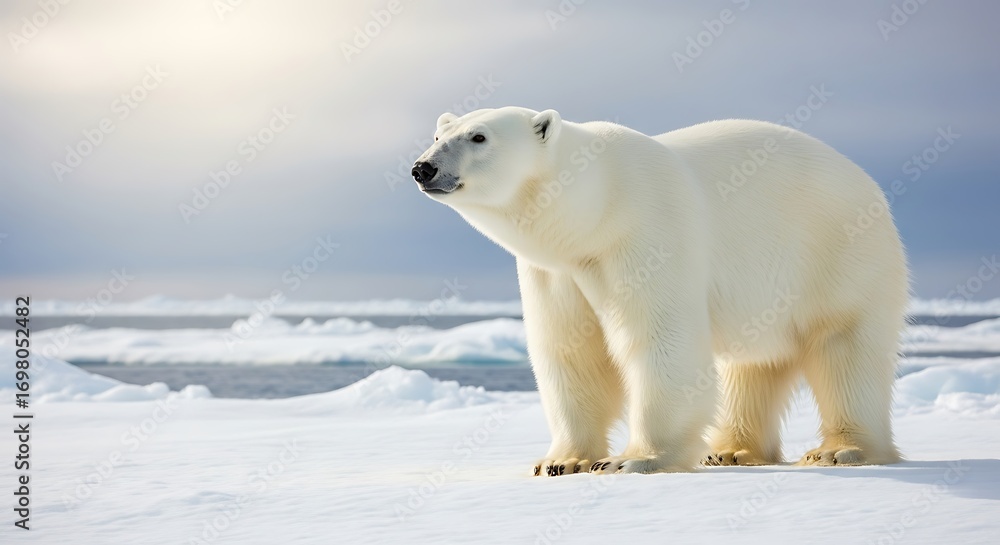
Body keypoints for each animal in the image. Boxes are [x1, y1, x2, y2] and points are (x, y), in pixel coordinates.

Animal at [411, 107, 908, 475]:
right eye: (438, 134)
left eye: (478, 137)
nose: (423, 167)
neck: (597, 207)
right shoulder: (555, 271)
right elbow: (569, 351)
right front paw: (562, 461)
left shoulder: (646, 233)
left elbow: (660, 340)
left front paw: (633, 460)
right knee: (753, 365)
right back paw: (730, 451)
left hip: (839, 255)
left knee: (845, 350)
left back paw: (840, 450)